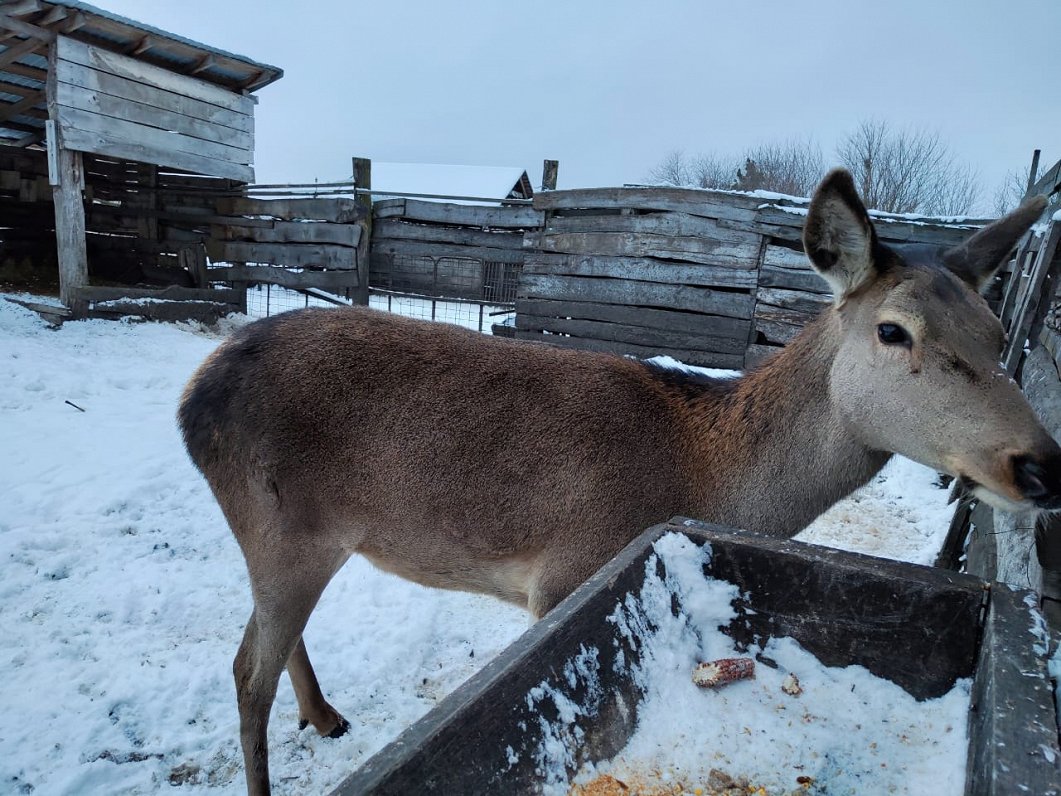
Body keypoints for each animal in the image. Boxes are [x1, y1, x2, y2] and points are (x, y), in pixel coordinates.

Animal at [178, 166, 1056, 793]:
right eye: (892, 330)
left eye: (996, 332)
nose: (1040, 463)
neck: (705, 476)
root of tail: (191, 398)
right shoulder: (565, 574)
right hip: (276, 522)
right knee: (245, 672)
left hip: (298, 537)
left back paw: (326, 717)